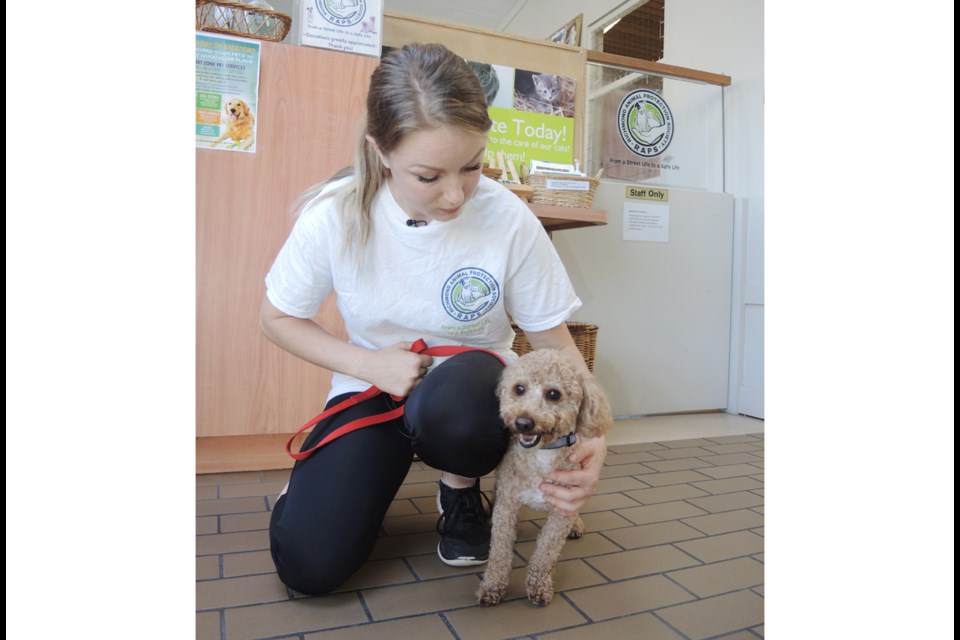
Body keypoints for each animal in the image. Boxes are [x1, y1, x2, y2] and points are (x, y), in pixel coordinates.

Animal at [476, 348, 612, 608]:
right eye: (519, 388)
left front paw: (538, 586)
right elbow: (499, 551)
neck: (542, 453)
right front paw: (492, 587)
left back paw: (576, 524)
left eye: (553, 394)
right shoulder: (508, 504)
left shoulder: (561, 510)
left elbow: (545, 552)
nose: (523, 422)